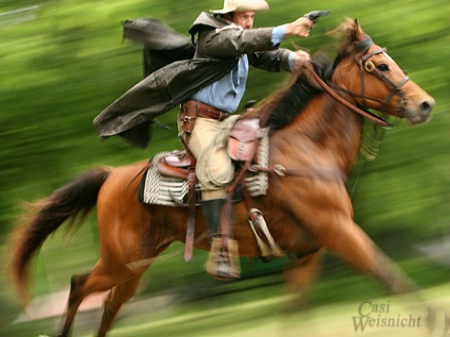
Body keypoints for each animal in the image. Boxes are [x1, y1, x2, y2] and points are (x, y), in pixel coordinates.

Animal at [6, 20, 436, 336]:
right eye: (380, 66)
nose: (426, 104)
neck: (309, 148)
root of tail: (112, 177)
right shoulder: (341, 232)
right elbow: (392, 277)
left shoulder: (308, 253)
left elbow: (294, 315)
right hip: (120, 263)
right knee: (79, 287)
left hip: (134, 267)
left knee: (108, 305)